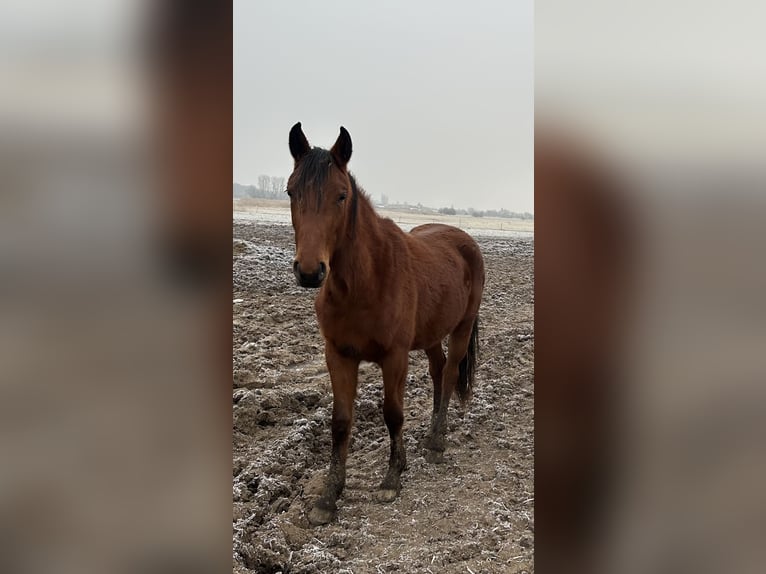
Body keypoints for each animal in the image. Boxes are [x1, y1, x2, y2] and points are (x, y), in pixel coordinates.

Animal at [288, 122, 486, 528]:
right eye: (290, 192)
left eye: (341, 196)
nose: (310, 272)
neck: (365, 282)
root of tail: (464, 239)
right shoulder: (339, 356)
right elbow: (340, 421)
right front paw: (329, 497)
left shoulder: (394, 357)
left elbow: (393, 413)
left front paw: (392, 478)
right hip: (430, 335)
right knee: (439, 370)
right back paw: (430, 435)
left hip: (461, 327)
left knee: (450, 374)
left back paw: (437, 442)